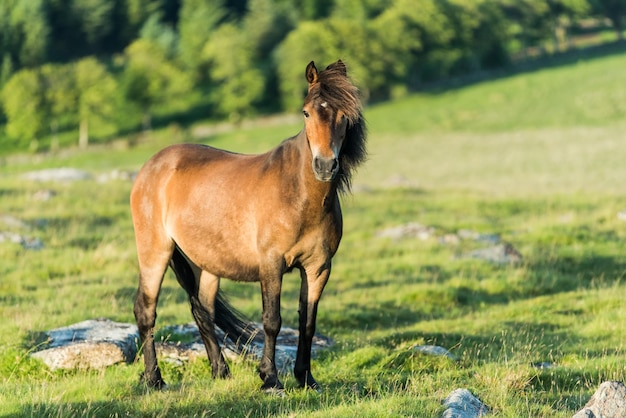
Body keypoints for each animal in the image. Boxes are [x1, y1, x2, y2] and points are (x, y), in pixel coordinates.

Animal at [130, 59, 366, 392]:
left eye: (344, 114)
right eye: (306, 112)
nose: (324, 165)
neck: (299, 194)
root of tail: (152, 165)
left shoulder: (319, 267)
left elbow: (307, 322)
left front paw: (306, 378)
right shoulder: (271, 264)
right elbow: (272, 320)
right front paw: (270, 379)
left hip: (206, 263)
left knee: (203, 310)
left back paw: (220, 371)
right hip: (155, 252)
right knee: (146, 310)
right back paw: (154, 380)